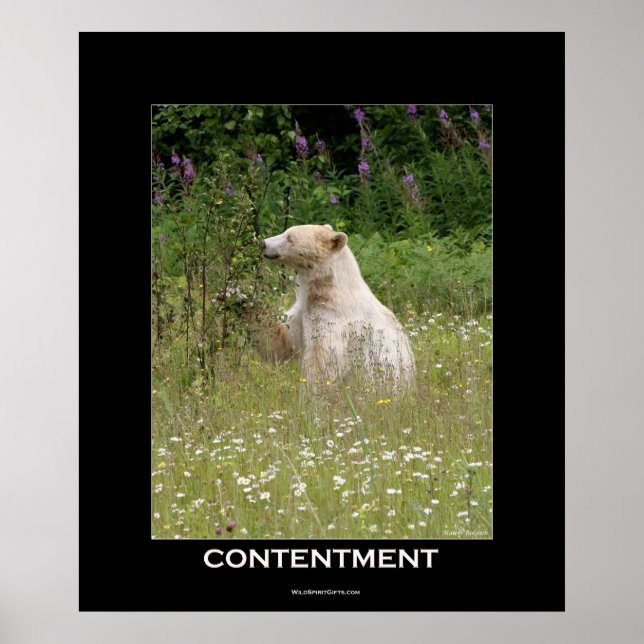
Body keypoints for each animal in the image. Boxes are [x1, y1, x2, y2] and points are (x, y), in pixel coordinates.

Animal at [254, 224, 415, 386]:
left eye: (290, 238)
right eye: (285, 232)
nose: (263, 243)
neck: (330, 290)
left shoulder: (333, 317)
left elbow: (324, 358)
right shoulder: (303, 310)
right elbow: (280, 339)